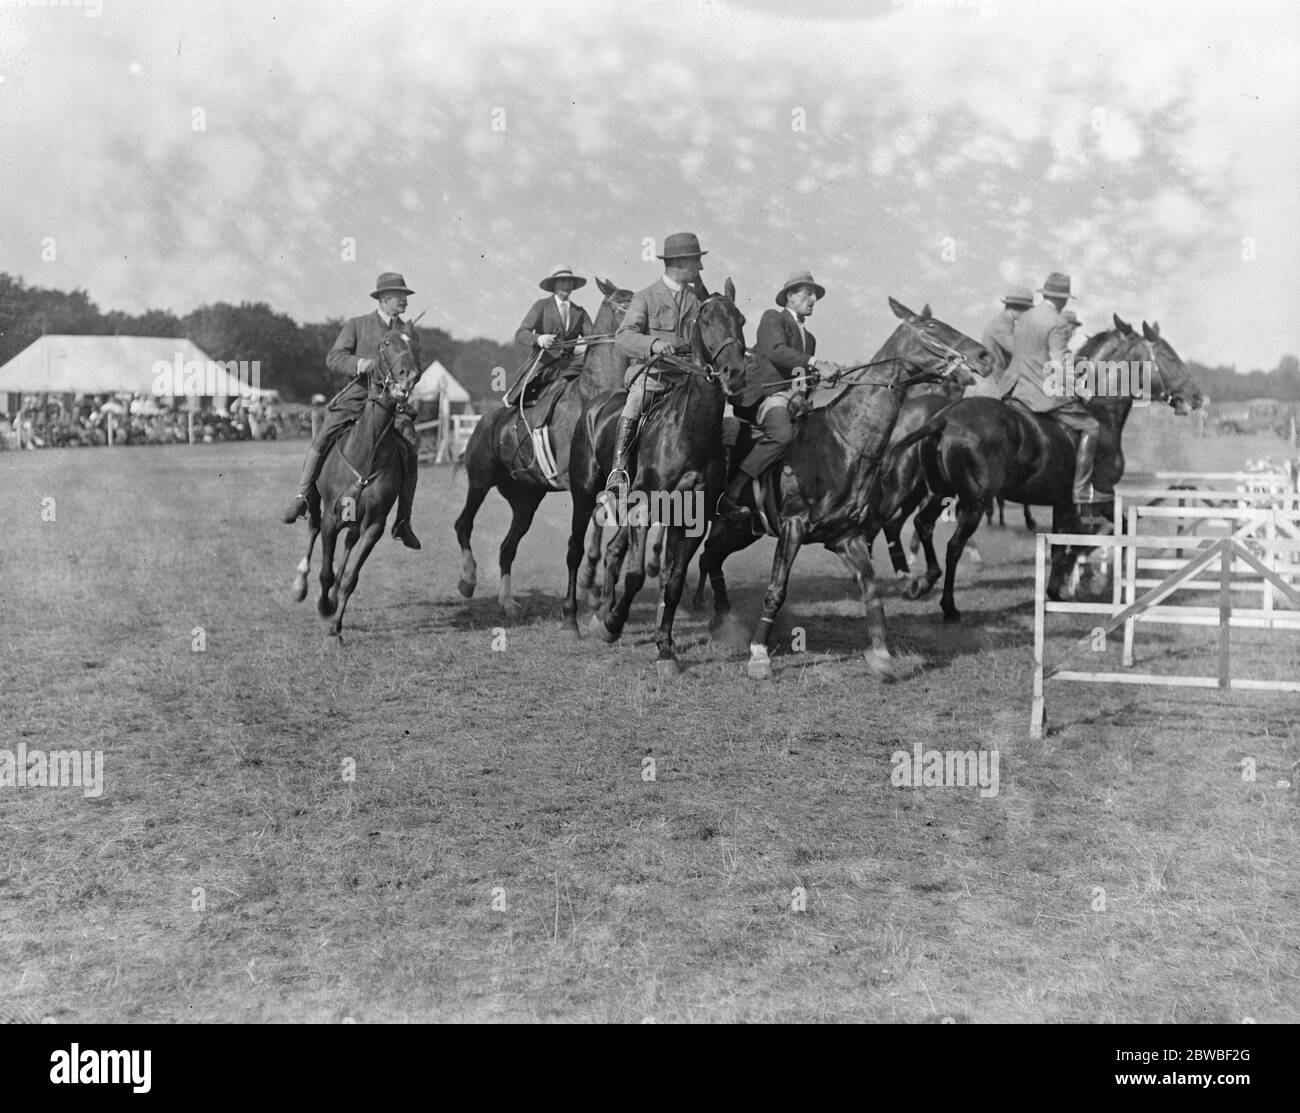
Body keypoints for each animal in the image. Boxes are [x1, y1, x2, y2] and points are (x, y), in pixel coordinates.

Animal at [449, 273, 631, 613]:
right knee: (463, 525)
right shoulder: (581, 482)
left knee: (507, 546)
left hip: (525, 500)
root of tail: (483, 423)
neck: (594, 396)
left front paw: (592, 584)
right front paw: (589, 580)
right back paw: (467, 580)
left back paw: (507, 601)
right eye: (621, 304)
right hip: (480, 482)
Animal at [561, 278, 754, 676]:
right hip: (584, 495)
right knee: (575, 551)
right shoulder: (644, 508)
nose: (735, 373)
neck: (688, 431)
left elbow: (674, 581)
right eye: (706, 320)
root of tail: (595, 404)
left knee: (613, 551)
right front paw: (612, 624)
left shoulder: (692, 519)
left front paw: (665, 647)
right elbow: (635, 575)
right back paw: (574, 620)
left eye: (740, 319)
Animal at [691, 295, 982, 676]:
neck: (843, 442)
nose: (981, 355)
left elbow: (870, 587)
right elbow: (776, 589)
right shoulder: (793, 527)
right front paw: (759, 654)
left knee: (710, 555)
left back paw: (717, 618)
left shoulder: (845, 537)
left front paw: (881, 654)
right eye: (932, 327)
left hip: (739, 530)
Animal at [878, 317, 1201, 621]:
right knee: (952, 545)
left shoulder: (1064, 502)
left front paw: (1058, 591)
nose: (1196, 396)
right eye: (1167, 355)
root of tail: (943, 418)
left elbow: (1064, 545)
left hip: (938, 492)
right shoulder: (1099, 496)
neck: (1099, 411)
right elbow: (1104, 533)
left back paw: (920, 581)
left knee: (920, 524)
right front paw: (1090, 583)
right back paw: (948, 606)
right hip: (974, 501)